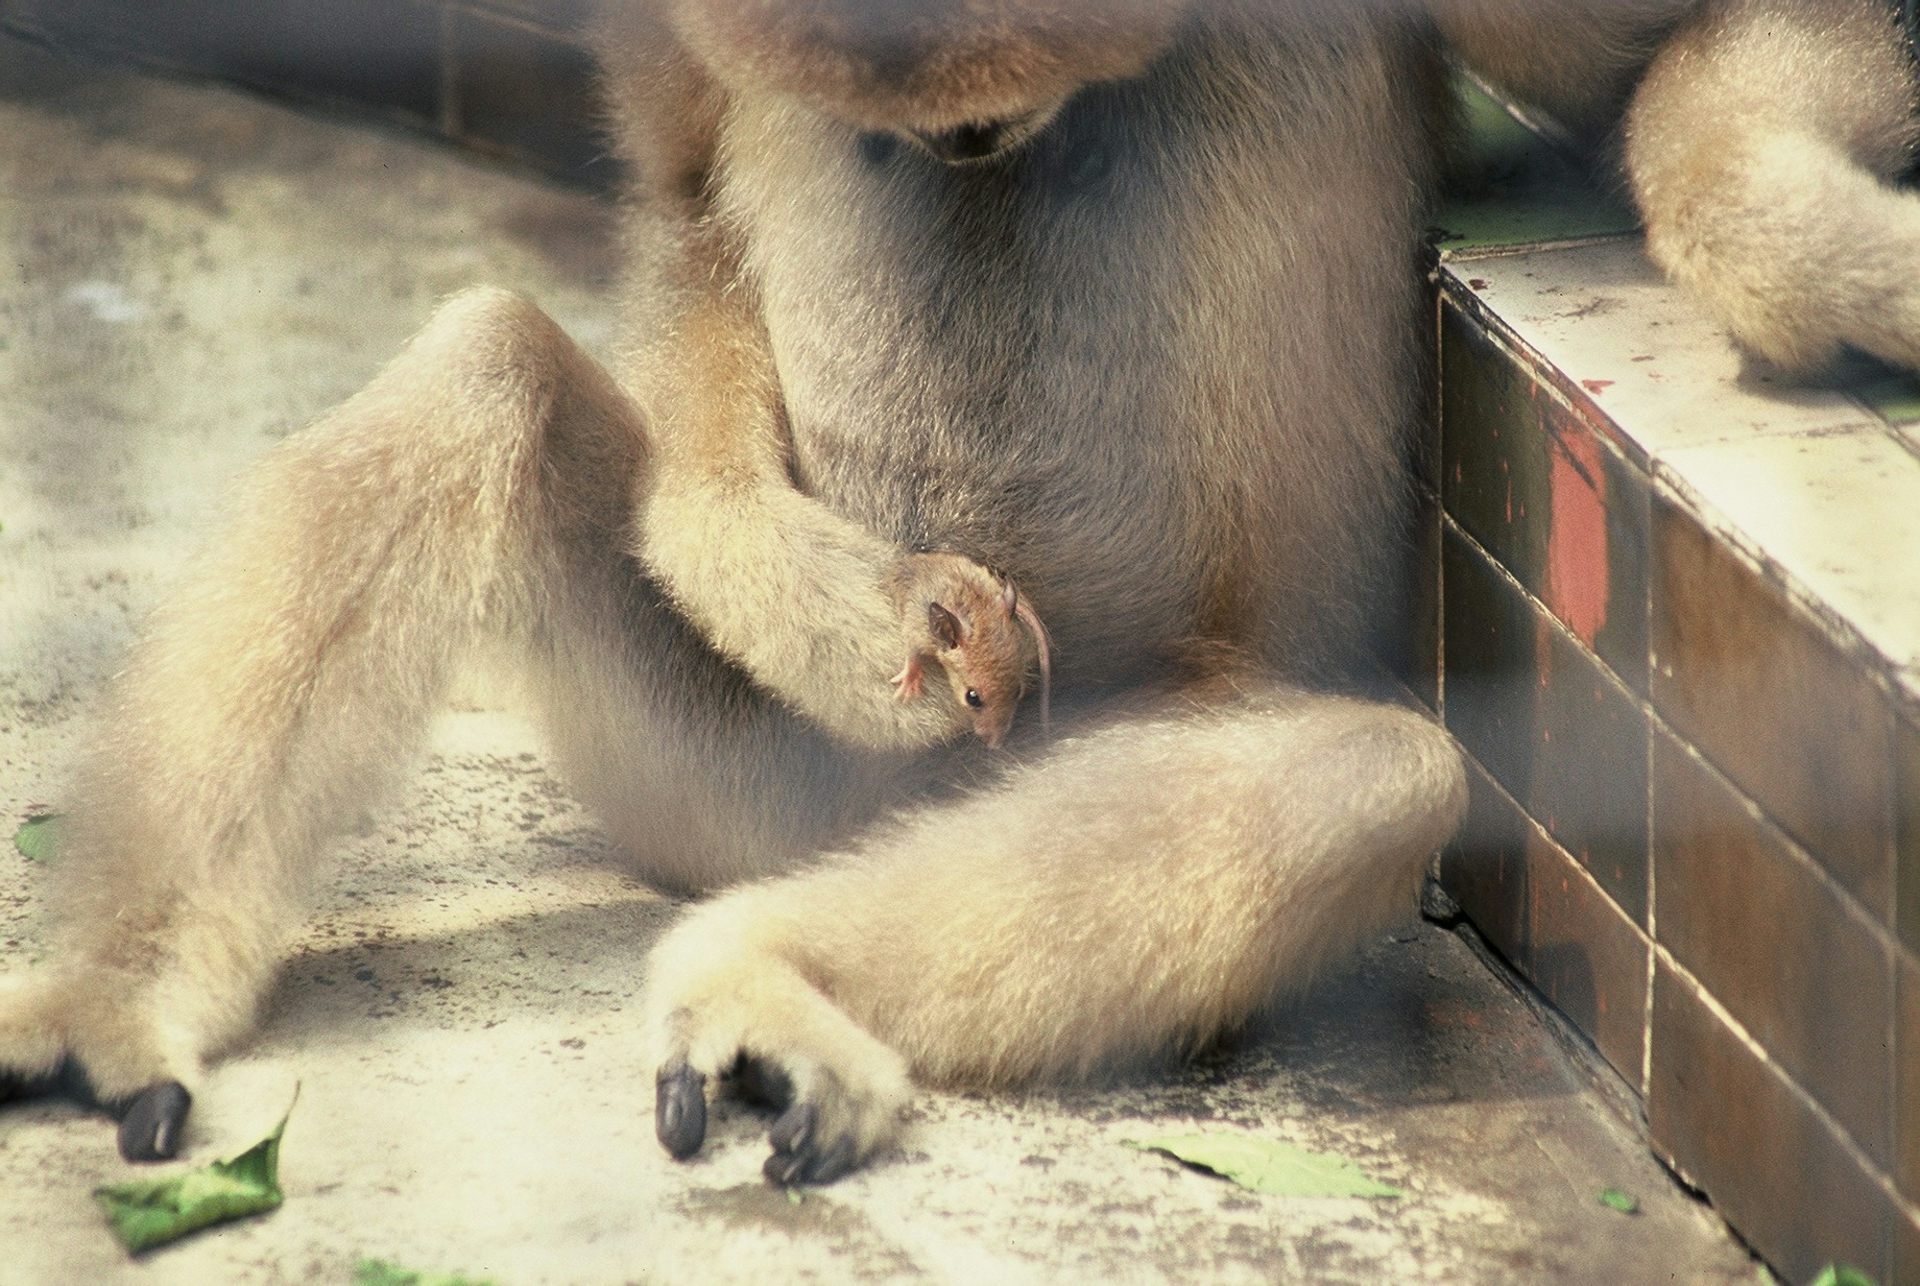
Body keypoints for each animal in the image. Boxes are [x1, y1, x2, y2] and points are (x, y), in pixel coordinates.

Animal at [888, 552, 1052, 749]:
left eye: (1017, 691)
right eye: (972, 698)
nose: (996, 746)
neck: (975, 611)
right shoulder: (916, 634)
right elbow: (913, 659)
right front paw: (906, 690)